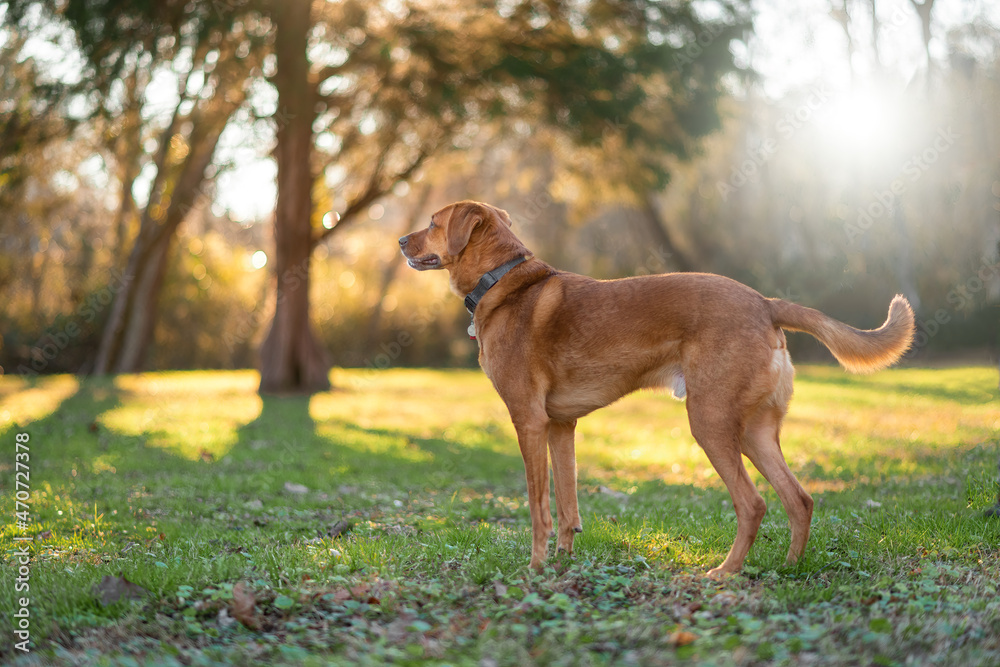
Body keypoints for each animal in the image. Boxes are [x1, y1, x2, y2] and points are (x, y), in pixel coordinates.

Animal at [398, 200, 916, 580]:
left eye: (433, 222)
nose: (401, 240)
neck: (502, 281)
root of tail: (765, 303)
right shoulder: (561, 426)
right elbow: (567, 504)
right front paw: (564, 563)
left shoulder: (528, 421)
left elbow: (539, 505)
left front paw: (536, 568)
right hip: (754, 432)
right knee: (799, 499)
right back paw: (789, 569)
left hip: (710, 422)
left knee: (753, 504)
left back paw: (724, 573)